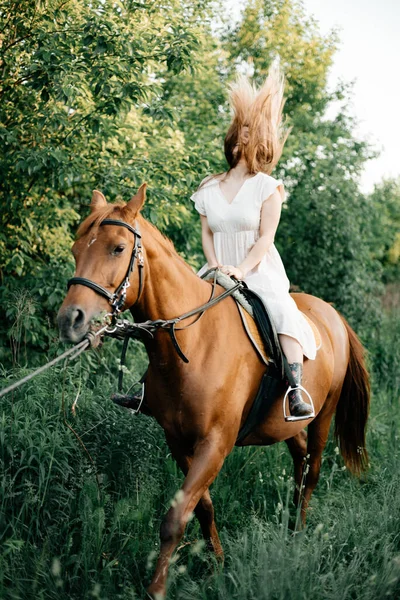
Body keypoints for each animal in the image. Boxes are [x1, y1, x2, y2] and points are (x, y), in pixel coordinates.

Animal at [57, 185, 370, 596]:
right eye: (76, 249)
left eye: (118, 249)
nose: (70, 320)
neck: (192, 340)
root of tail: (331, 313)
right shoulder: (178, 440)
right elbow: (200, 506)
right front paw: (219, 564)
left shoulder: (216, 443)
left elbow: (175, 517)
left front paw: (157, 589)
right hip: (283, 424)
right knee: (299, 459)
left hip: (324, 416)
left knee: (311, 471)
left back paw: (298, 534)